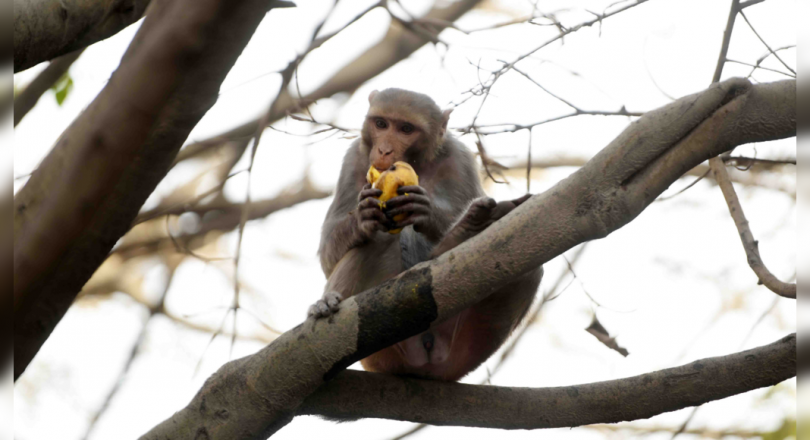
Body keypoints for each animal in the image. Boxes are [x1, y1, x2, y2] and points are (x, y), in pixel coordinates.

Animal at [309, 88, 543, 381]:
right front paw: (362, 218)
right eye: (381, 124)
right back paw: (327, 303)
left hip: (462, 349)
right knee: (379, 239)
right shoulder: (354, 159)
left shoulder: (460, 159)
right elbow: (328, 255)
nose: (384, 150)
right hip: (382, 356)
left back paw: (465, 230)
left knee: (526, 266)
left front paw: (426, 212)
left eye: (406, 129)